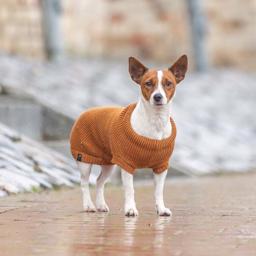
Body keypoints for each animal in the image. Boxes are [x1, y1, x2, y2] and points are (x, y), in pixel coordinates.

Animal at [69, 55, 187, 217]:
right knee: (84, 183)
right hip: (85, 160)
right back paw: (89, 205)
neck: (155, 122)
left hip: (109, 164)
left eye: (168, 83)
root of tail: (85, 111)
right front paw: (130, 209)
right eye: (148, 83)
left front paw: (161, 209)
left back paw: (101, 205)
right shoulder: (126, 163)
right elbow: (130, 190)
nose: (157, 97)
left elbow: (159, 191)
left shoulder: (161, 166)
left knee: (99, 181)